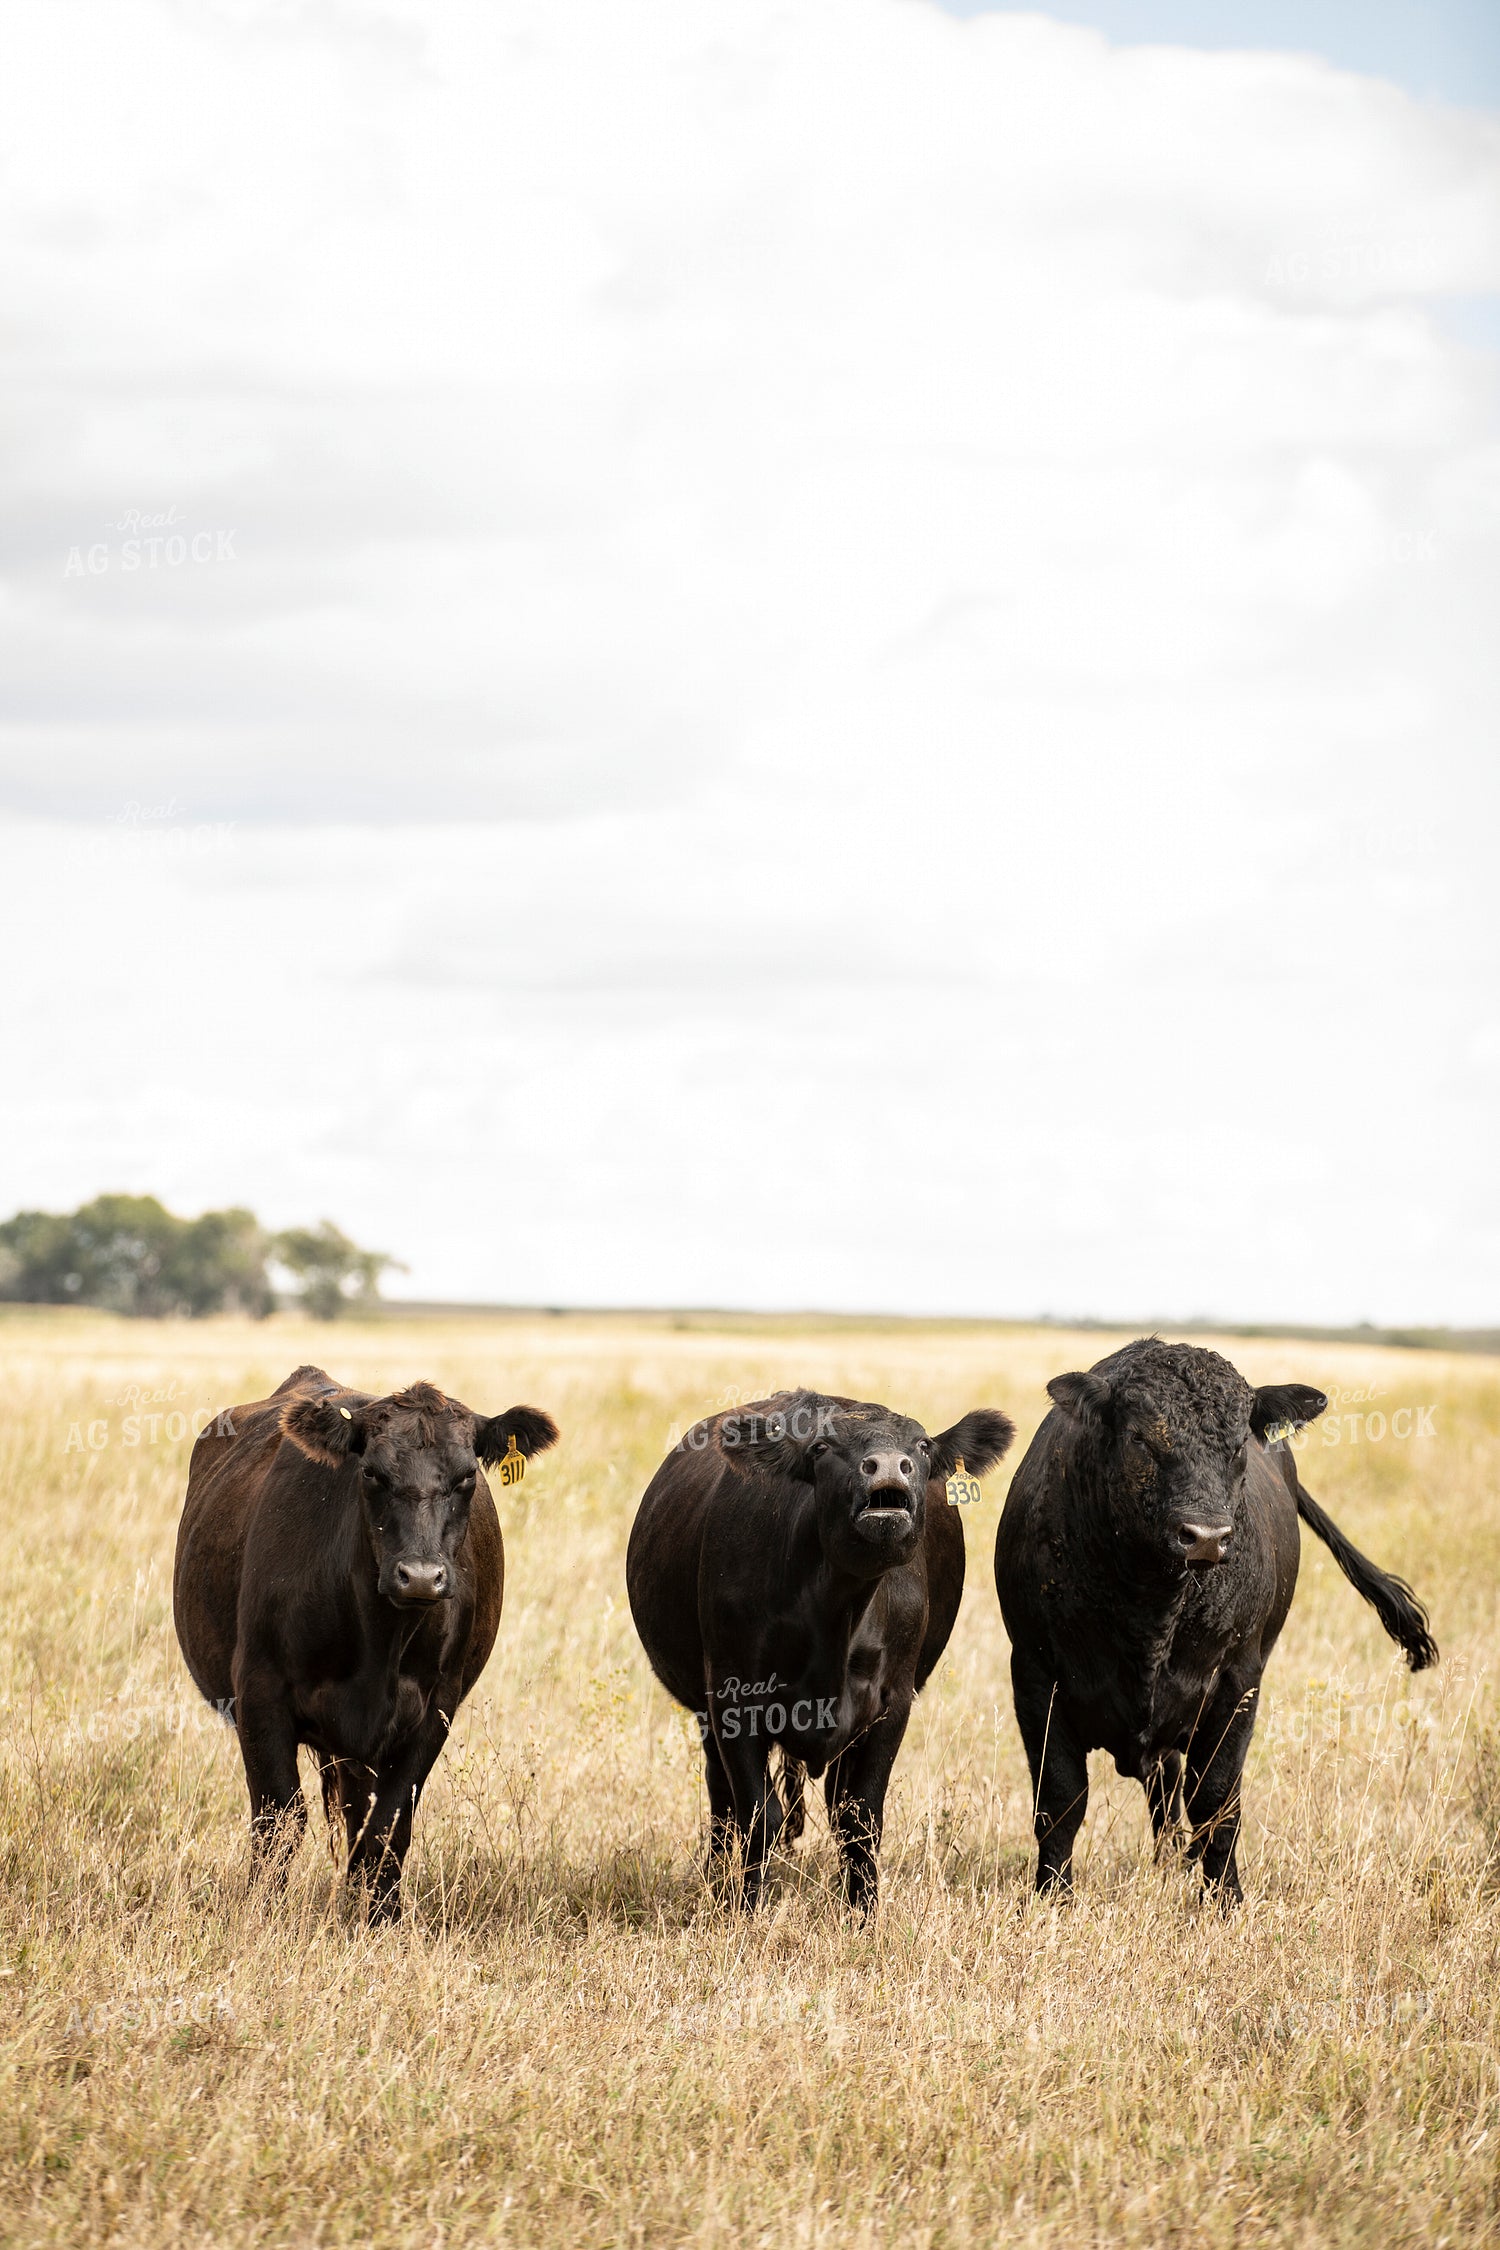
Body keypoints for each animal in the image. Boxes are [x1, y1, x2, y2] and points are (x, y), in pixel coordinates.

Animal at [173, 1364, 558, 1920]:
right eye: (373, 1473)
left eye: (466, 1477)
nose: (420, 1577)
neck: (378, 1640)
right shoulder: (259, 1692)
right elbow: (279, 1819)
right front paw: (262, 1915)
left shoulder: (434, 1708)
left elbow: (389, 1825)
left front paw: (381, 1919)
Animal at [627, 1389, 1015, 1912]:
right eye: (821, 1448)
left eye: (922, 1445)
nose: (888, 1465)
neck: (835, 1607)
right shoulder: (732, 1698)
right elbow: (757, 1814)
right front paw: (747, 1910)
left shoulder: (892, 1701)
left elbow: (861, 1817)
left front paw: (862, 1912)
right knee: (723, 1800)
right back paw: (715, 1878)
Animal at [994, 1338, 1437, 1905]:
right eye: (1140, 1438)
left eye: (1238, 1444)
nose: (1205, 1536)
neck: (1152, 1608)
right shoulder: (1034, 1674)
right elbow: (1060, 1800)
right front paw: (1053, 1897)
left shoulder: (1238, 1681)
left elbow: (1217, 1801)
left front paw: (1225, 1899)